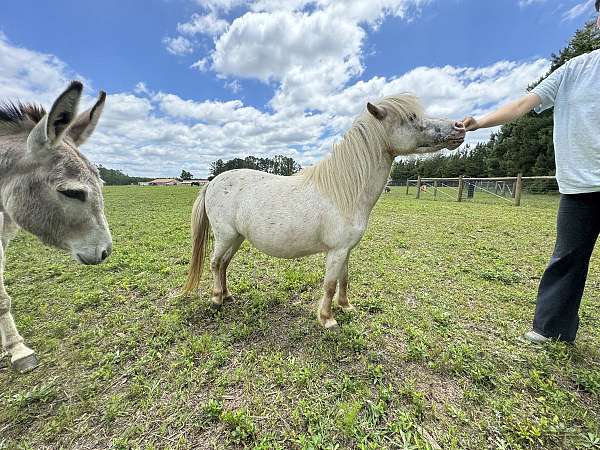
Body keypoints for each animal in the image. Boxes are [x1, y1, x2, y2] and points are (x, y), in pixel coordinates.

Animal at [185, 94, 466, 326]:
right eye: (411, 117)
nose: (460, 127)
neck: (345, 192)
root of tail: (212, 182)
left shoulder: (346, 250)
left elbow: (344, 279)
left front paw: (346, 306)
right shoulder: (337, 250)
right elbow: (330, 284)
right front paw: (328, 319)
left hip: (237, 237)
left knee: (224, 264)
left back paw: (228, 295)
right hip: (225, 235)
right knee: (215, 263)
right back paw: (216, 299)